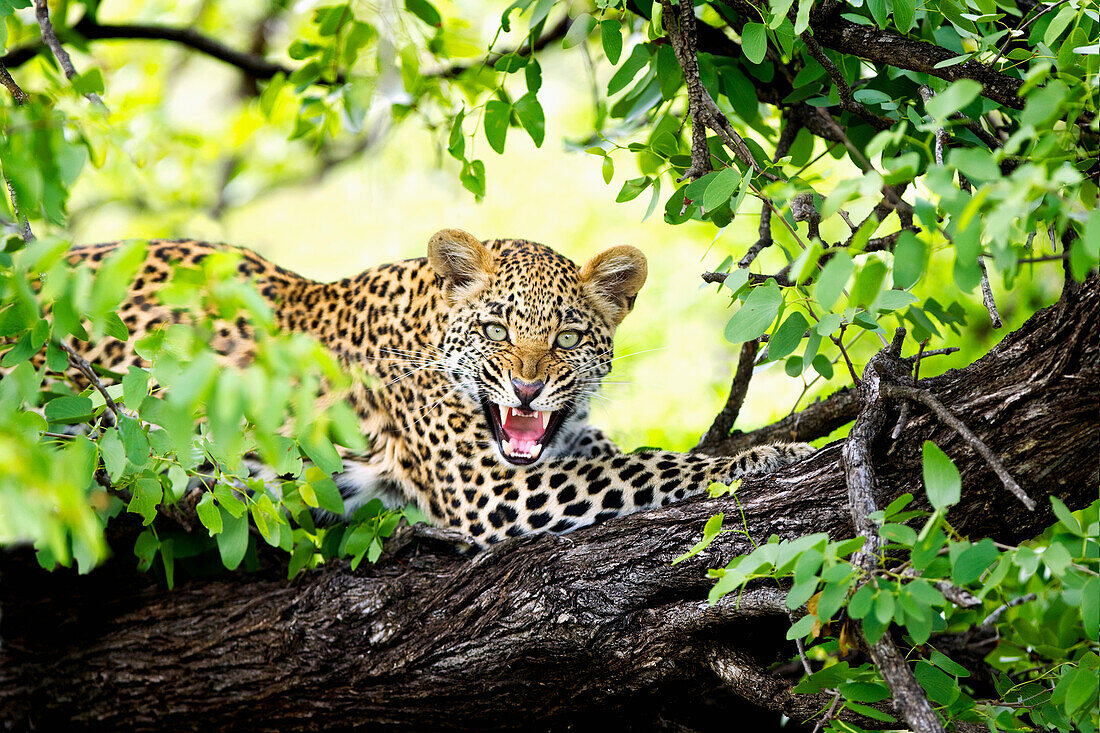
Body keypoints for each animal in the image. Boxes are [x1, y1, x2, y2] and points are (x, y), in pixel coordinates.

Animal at [38, 228, 814, 541]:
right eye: (498, 329)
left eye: (566, 338)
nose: (526, 392)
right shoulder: (490, 488)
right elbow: (648, 466)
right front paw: (762, 456)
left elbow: (628, 454)